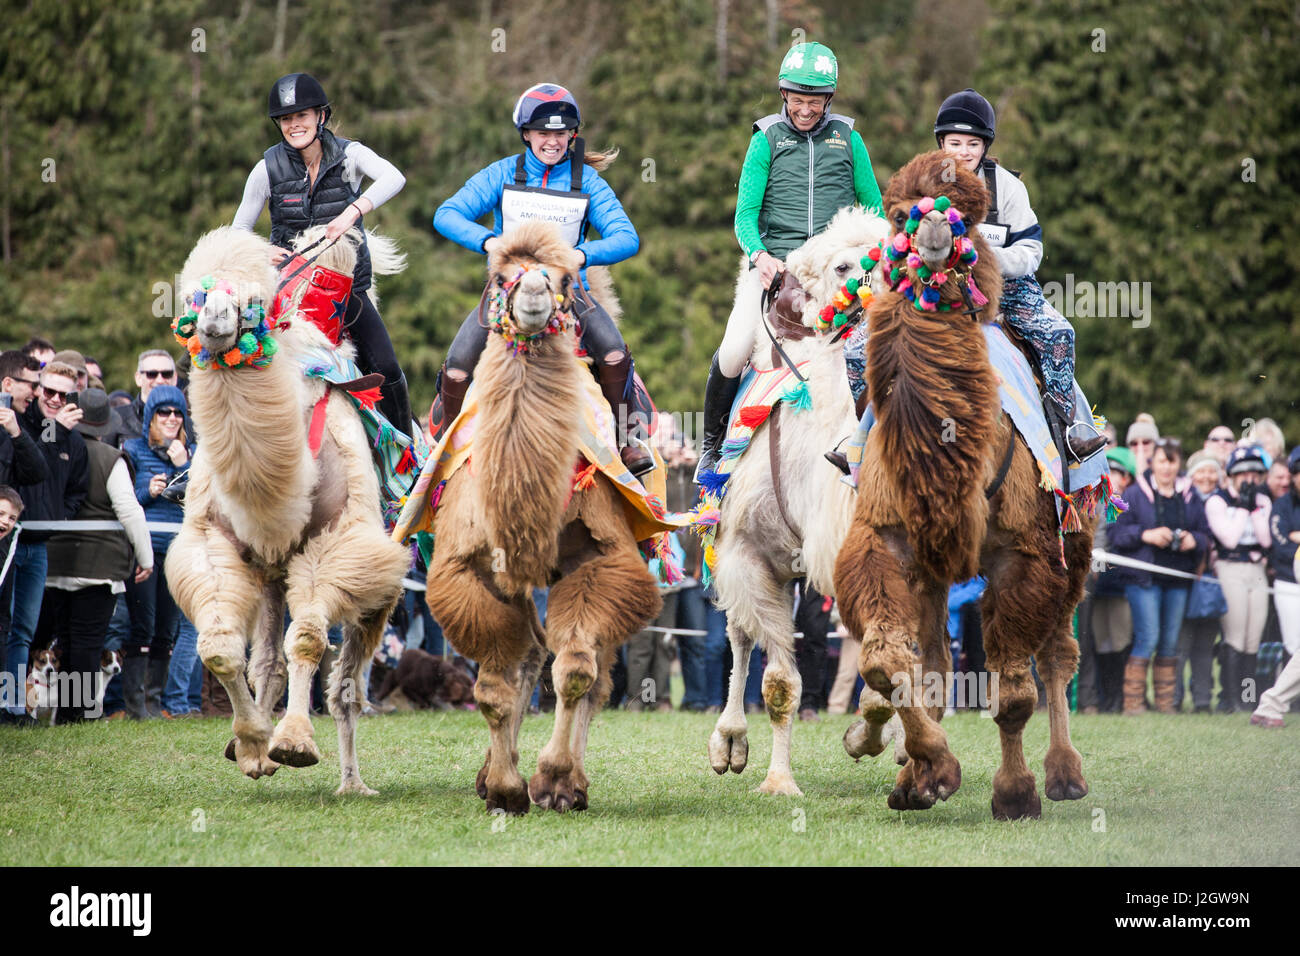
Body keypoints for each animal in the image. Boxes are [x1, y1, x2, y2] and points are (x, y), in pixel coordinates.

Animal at [167, 223, 408, 790]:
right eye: (193, 296)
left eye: (257, 300)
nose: (215, 321)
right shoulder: (215, 543)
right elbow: (220, 648)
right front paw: (253, 745)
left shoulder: (337, 546)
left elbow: (308, 641)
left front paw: (294, 743)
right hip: (271, 574)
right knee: (269, 662)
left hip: (379, 584)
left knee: (345, 688)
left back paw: (353, 783)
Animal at [426, 222, 665, 816]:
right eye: (499, 276)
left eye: (563, 278)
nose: (533, 294)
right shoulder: (465, 565)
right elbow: (495, 684)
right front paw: (504, 787)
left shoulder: (605, 559)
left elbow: (577, 668)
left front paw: (554, 782)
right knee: (530, 655)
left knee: (591, 673)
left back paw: (570, 781)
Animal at [826, 151, 1092, 822]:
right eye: (900, 213)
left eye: (968, 217)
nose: (933, 240)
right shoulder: (886, 541)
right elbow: (888, 663)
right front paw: (928, 772)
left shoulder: (1023, 554)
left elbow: (1013, 693)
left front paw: (1015, 793)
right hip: (934, 569)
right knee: (937, 660)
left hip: (1074, 536)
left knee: (1058, 654)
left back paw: (1065, 774)